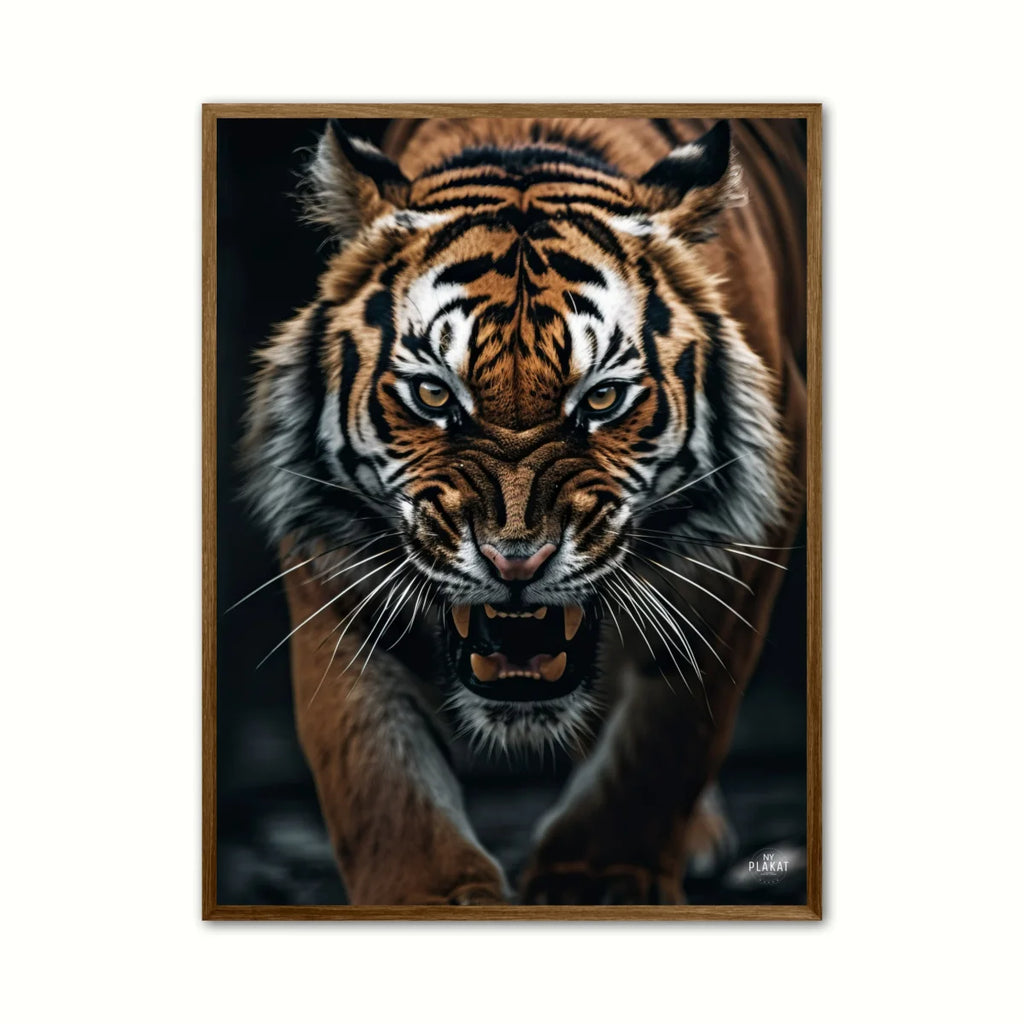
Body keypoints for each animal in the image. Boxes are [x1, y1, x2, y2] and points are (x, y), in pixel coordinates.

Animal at [241, 115, 807, 905]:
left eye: (602, 398)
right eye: (434, 394)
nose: (516, 562)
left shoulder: (740, 547)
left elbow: (665, 735)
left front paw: (598, 881)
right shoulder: (333, 555)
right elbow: (374, 762)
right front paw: (430, 898)